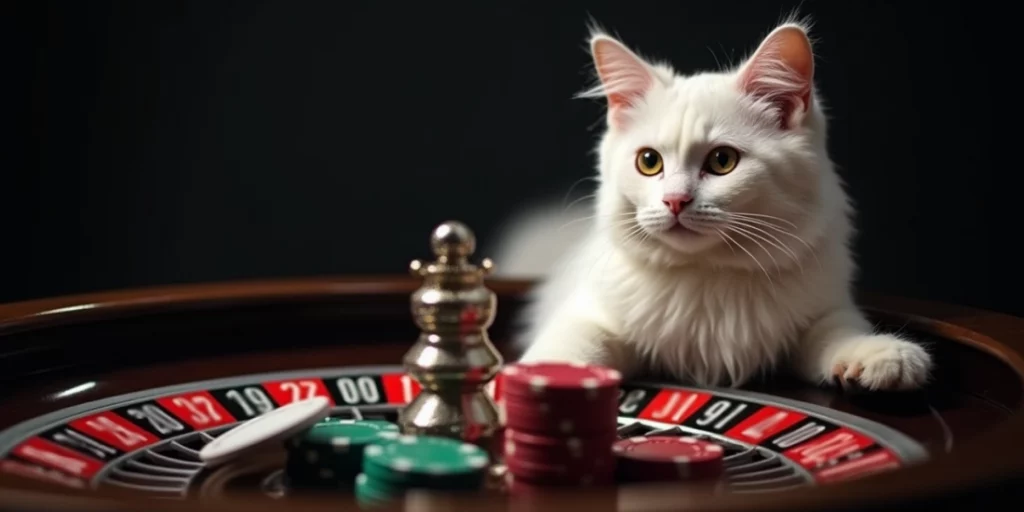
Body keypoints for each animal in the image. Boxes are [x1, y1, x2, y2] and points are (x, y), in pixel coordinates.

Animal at [491, 18, 933, 387]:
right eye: (649, 162)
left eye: (722, 161)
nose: (674, 201)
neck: (708, 278)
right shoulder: (588, 313)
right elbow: (568, 349)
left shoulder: (823, 309)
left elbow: (840, 332)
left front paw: (884, 355)